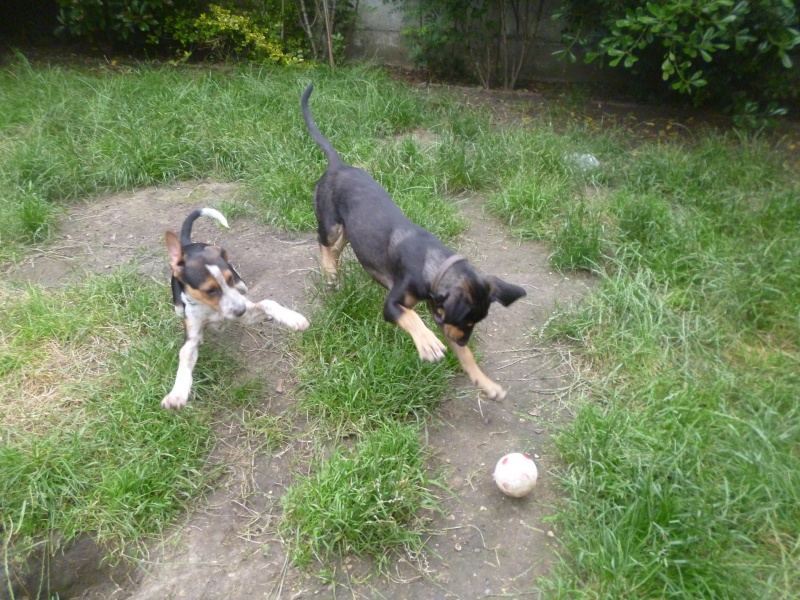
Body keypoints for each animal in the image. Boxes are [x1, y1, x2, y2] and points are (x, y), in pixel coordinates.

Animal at [162, 209, 310, 410]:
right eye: (210, 290)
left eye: (229, 279)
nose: (240, 311)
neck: (213, 311)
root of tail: (187, 245)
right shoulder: (191, 334)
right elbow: (185, 356)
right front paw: (177, 394)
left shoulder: (246, 308)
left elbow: (268, 302)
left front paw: (294, 318)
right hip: (178, 306)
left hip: (243, 286)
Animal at [300, 82, 524, 400]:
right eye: (467, 322)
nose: (463, 339)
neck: (435, 263)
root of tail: (337, 166)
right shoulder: (395, 305)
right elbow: (411, 317)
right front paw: (428, 343)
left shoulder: (439, 311)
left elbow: (465, 357)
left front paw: (486, 383)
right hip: (330, 223)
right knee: (324, 242)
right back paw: (330, 273)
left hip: (351, 232)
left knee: (338, 246)